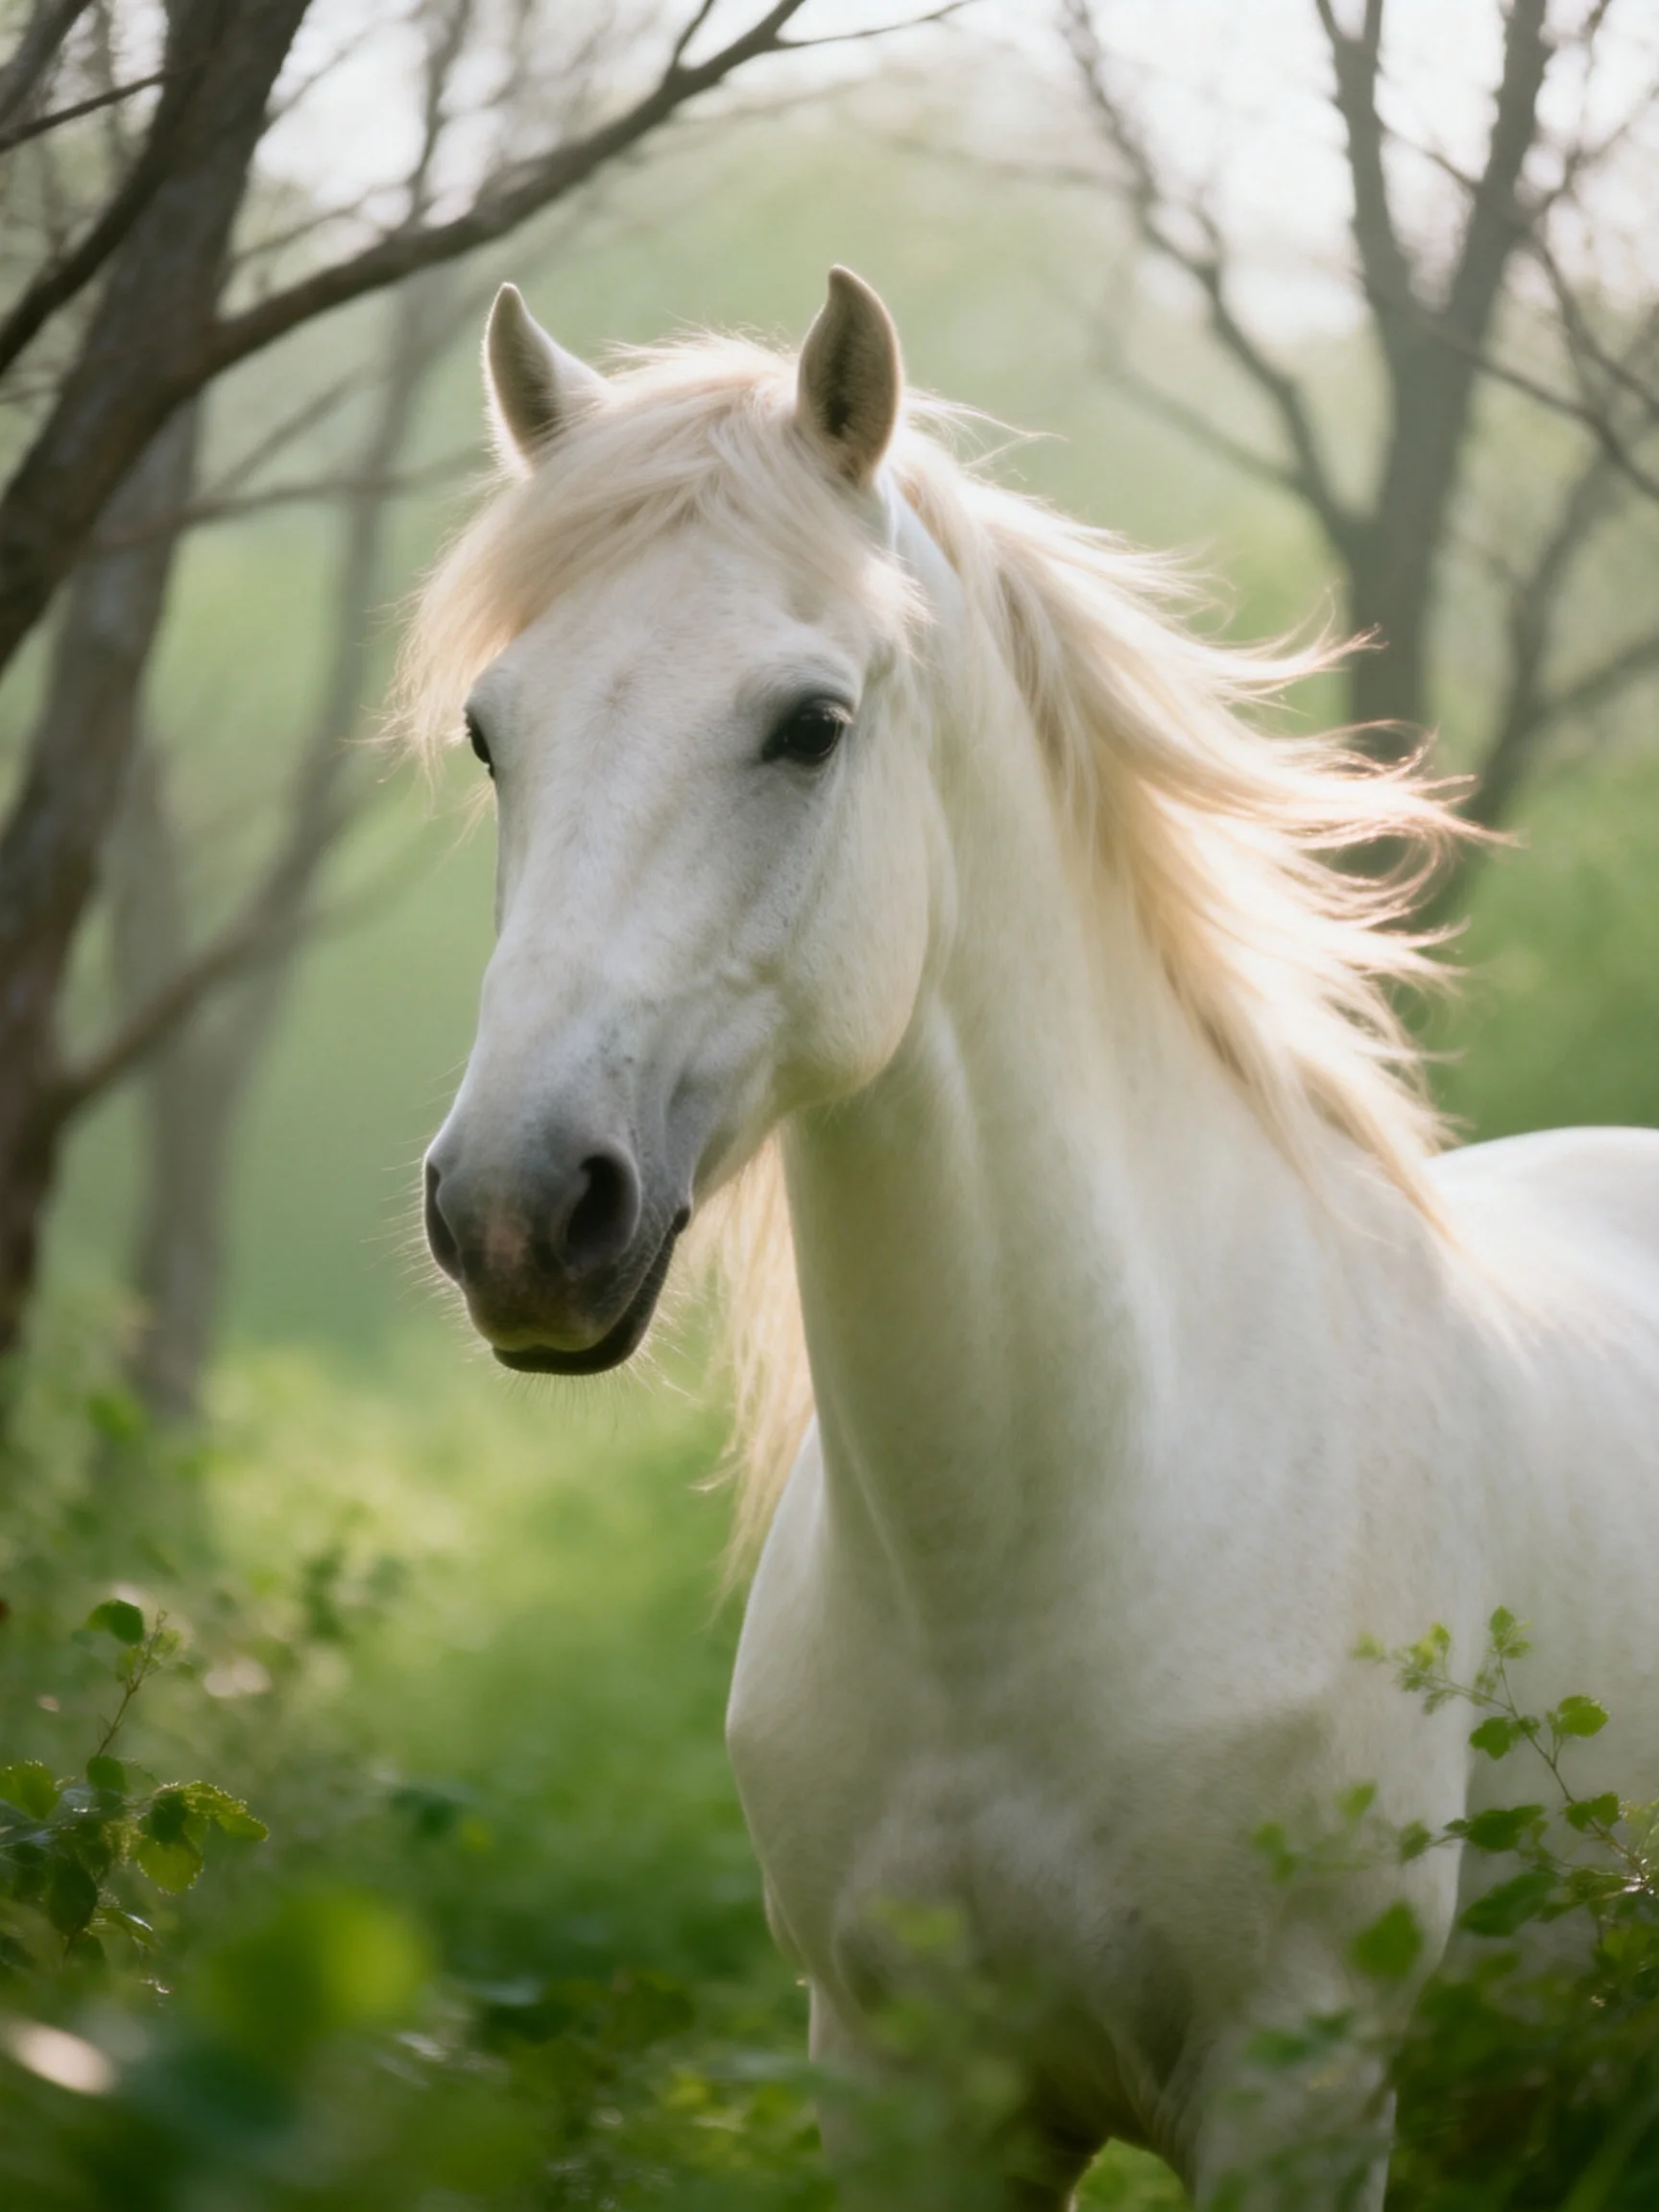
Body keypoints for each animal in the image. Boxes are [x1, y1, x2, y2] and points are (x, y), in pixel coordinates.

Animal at [402, 267, 1659, 2208]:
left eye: (808, 724)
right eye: (491, 733)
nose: (520, 1213)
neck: (1020, 1554)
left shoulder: (1299, 2089)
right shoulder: (901, 2088)